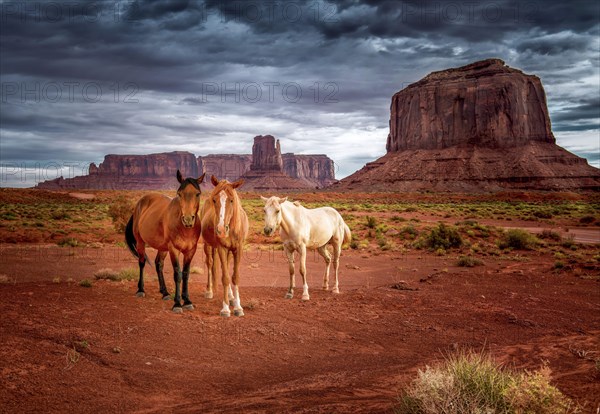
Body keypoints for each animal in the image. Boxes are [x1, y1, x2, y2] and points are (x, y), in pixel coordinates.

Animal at [125, 170, 205, 312]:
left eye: (197, 193)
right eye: (179, 194)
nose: (188, 220)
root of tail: (139, 204)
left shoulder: (191, 251)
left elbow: (186, 274)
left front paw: (187, 301)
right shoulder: (174, 249)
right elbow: (177, 274)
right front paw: (177, 304)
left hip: (162, 247)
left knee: (159, 264)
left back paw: (165, 292)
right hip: (140, 242)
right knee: (142, 262)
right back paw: (141, 290)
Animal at [202, 175, 248, 316]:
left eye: (232, 200)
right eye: (214, 200)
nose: (221, 230)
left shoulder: (238, 249)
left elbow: (235, 277)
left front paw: (238, 307)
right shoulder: (221, 248)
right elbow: (225, 278)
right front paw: (225, 308)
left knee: (225, 266)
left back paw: (231, 296)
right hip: (207, 245)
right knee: (210, 263)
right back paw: (209, 291)